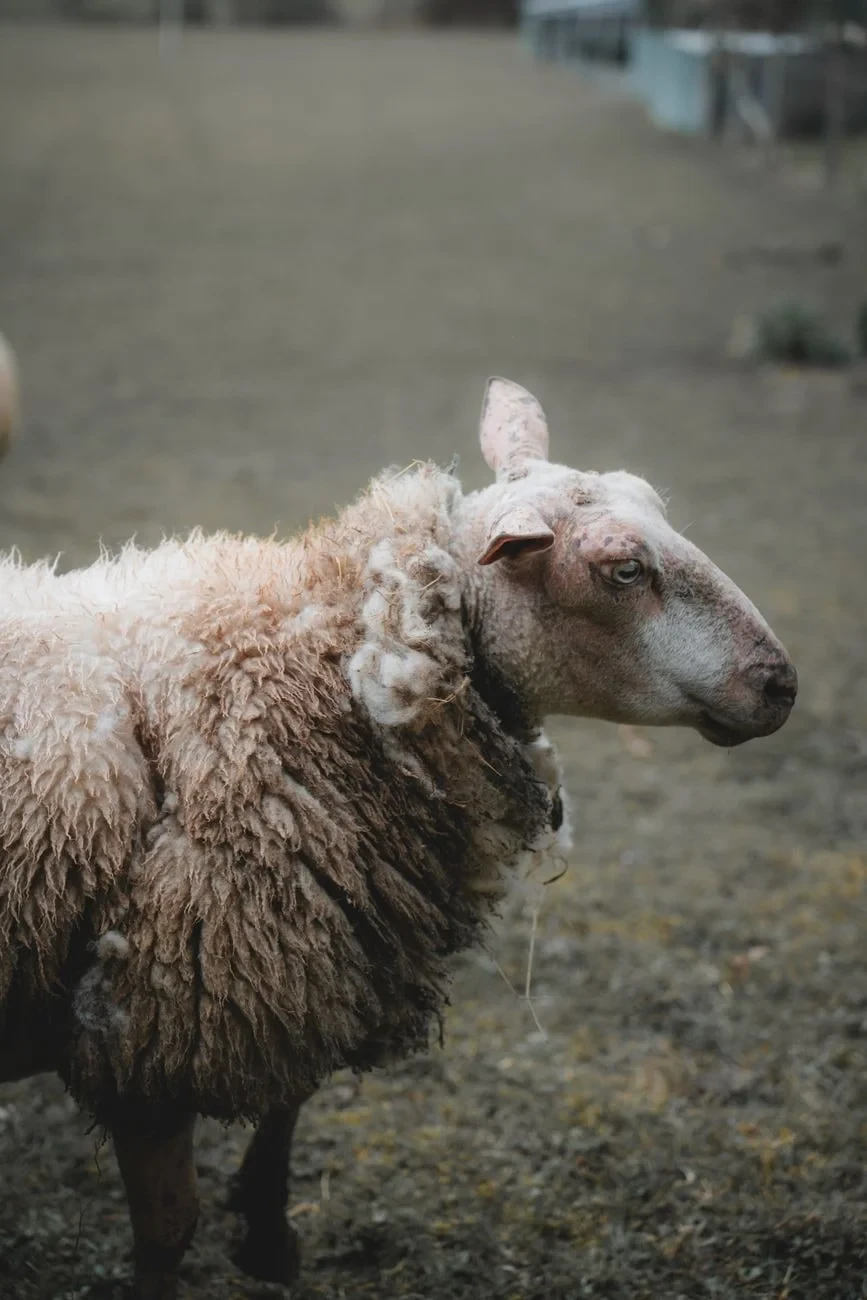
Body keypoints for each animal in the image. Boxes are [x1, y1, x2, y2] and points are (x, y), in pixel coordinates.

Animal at [0, 377, 797, 1300]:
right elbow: (168, 1232)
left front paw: (267, 1233)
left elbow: (288, 1105)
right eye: (622, 569)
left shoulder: (304, 955)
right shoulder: (147, 1024)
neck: (318, 668)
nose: (780, 684)